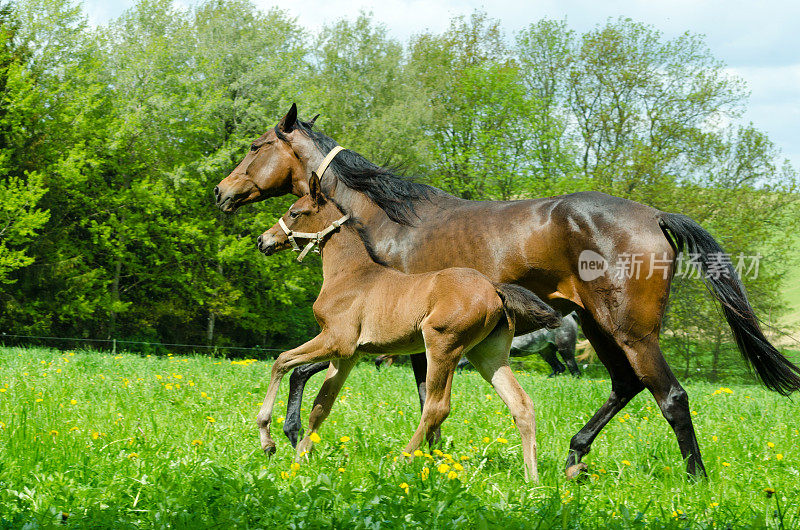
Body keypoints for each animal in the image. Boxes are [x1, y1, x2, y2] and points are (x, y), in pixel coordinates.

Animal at [253, 171, 560, 480]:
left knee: (437, 407)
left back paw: (400, 461)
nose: (262, 240)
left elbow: (281, 361)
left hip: (442, 346)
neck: (350, 274)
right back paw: (532, 478)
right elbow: (321, 405)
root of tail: (495, 288)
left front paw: (268, 440)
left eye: (294, 212)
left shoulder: (336, 341)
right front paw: (300, 457)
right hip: (488, 354)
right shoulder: (349, 355)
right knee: (521, 404)